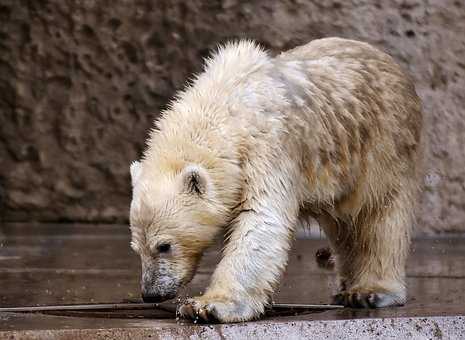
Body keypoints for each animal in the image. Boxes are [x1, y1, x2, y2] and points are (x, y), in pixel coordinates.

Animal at [129, 37, 422, 322]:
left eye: (164, 246)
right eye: (136, 247)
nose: (151, 293)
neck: (225, 104)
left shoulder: (268, 147)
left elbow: (261, 220)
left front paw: (207, 306)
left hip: (383, 145)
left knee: (379, 217)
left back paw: (370, 291)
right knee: (343, 226)